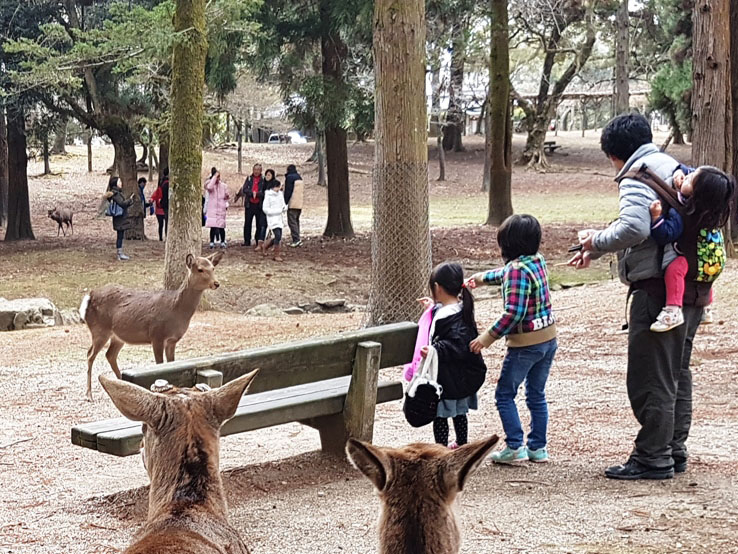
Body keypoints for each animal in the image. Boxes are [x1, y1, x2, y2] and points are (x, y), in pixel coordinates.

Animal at [80, 251, 223, 401]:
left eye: (213, 268)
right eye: (200, 269)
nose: (216, 283)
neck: (176, 311)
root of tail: (89, 296)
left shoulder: (172, 340)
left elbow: (172, 363)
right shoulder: (156, 335)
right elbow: (159, 364)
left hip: (117, 336)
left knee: (109, 355)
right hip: (99, 329)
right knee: (90, 355)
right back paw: (88, 394)